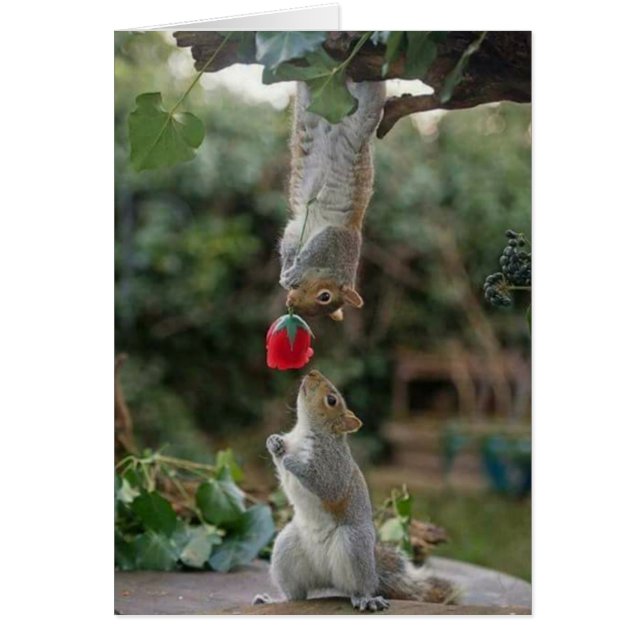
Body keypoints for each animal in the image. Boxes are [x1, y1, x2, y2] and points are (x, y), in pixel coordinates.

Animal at [254, 369, 453, 612]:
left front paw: (293, 462)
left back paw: (366, 599)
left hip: (353, 544)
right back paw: (274, 600)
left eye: (332, 400)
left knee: (357, 587)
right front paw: (274, 442)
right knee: (297, 595)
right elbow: (282, 469)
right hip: (286, 549)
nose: (312, 372)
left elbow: (325, 484)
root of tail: (327, 578)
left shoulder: (333, 466)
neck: (305, 431)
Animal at [279, 80, 387, 322]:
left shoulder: (299, 229)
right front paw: (292, 270)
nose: (291, 302)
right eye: (325, 296)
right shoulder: (337, 238)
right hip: (369, 108)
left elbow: (291, 243)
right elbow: (312, 251)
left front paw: (289, 271)